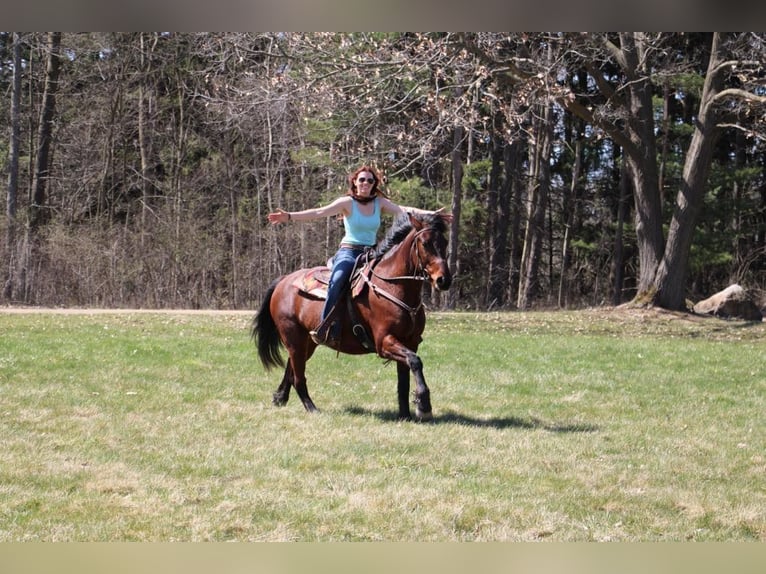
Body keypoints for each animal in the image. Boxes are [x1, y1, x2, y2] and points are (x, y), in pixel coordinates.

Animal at [252, 214, 452, 420]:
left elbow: (404, 380)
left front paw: (405, 414)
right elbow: (415, 362)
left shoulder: (410, 341)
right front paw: (424, 405)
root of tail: (283, 281)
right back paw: (311, 407)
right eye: (425, 243)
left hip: (307, 342)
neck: (393, 286)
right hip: (293, 338)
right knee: (298, 377)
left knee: (291, 367)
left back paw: (280, 397)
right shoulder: (384, 342)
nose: (444, 280)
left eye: (445, 242)